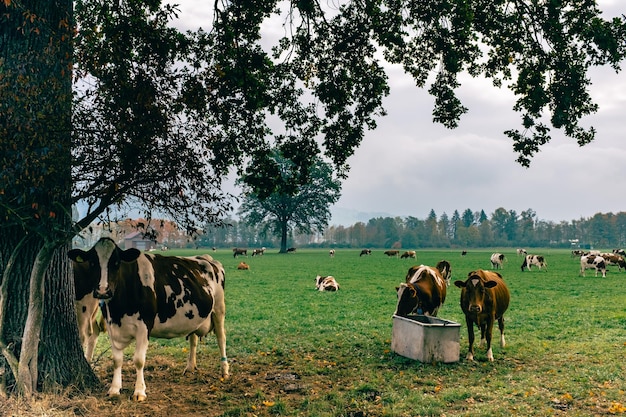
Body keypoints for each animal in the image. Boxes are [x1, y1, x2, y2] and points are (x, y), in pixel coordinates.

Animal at [67, 237, 228, 400]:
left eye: (116, 263)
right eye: (92, 262)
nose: (102, 291)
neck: (119, 308)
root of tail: (206, 258)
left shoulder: (144, 326)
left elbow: (139, 360)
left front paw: (139, 391)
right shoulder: (112, 325)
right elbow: (117, 360)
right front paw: (114, 389)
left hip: (219, 308)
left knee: (221, 337)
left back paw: (224, 371)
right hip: (195, 317)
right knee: (193, 339)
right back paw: (190, 367)